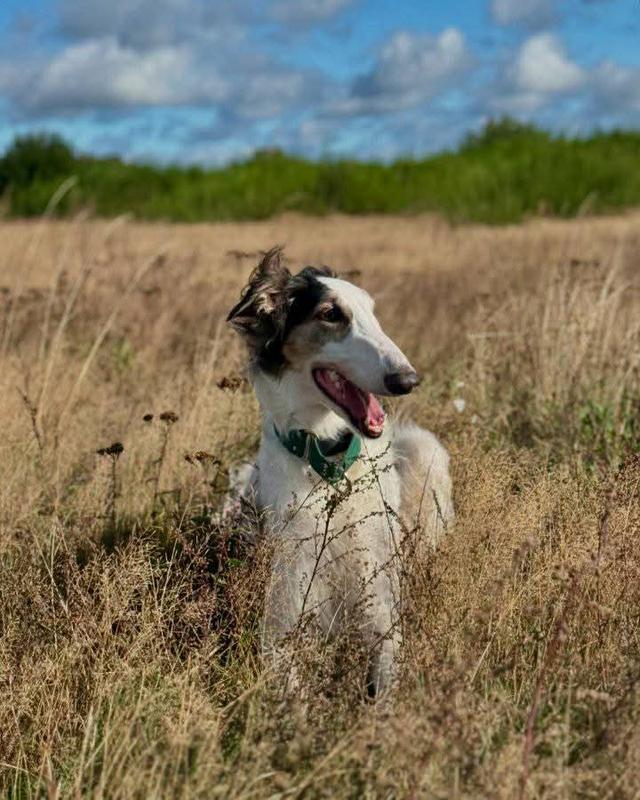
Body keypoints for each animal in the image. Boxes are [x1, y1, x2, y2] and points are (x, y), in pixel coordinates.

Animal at [225, 248, 456, 692]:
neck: (328, 468)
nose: (408, 379)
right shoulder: (279, 633)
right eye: (331, 314)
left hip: (425, 451)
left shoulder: (383, 621)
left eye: (372, 311)